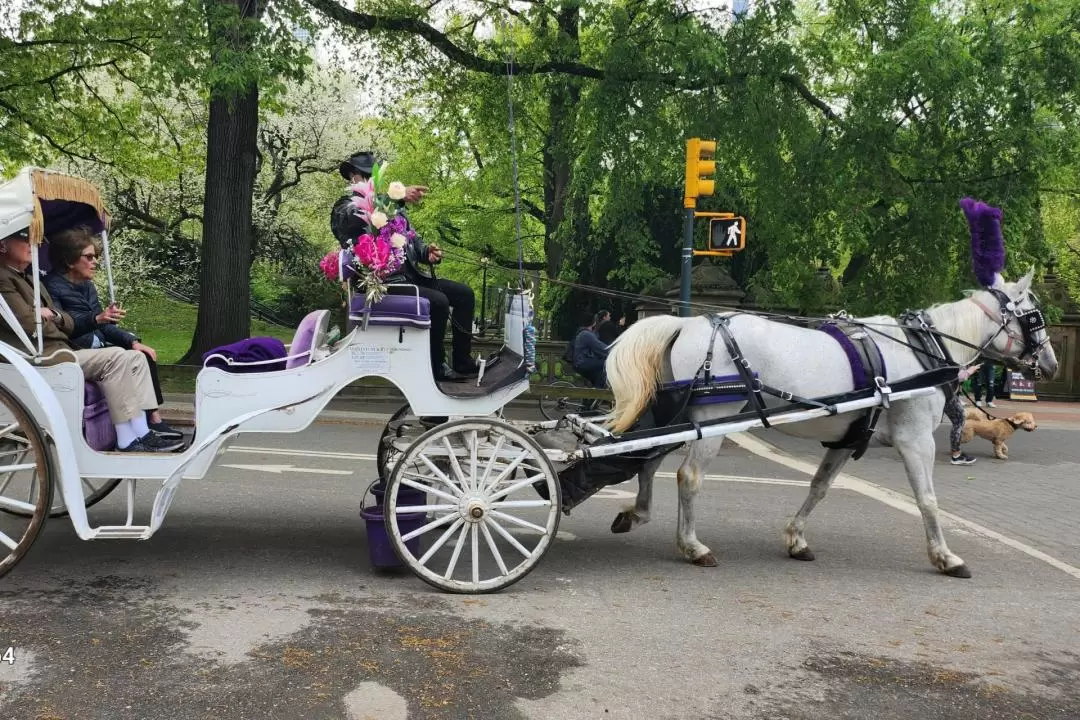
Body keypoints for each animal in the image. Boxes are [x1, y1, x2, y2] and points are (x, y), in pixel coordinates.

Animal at [604, 267, 1058, 578]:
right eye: (1034, 316)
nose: (1050, 366)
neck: (922, 350)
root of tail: (687, 321)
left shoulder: (848, 439)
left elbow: (819, 487)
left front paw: (796, 538)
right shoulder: (915, 439)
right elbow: (927, 499)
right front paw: (945, 557)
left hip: (678, 416)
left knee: (648, 461)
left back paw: (637, 514)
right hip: (712, 421)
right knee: (688, 476)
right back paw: (693, 546)